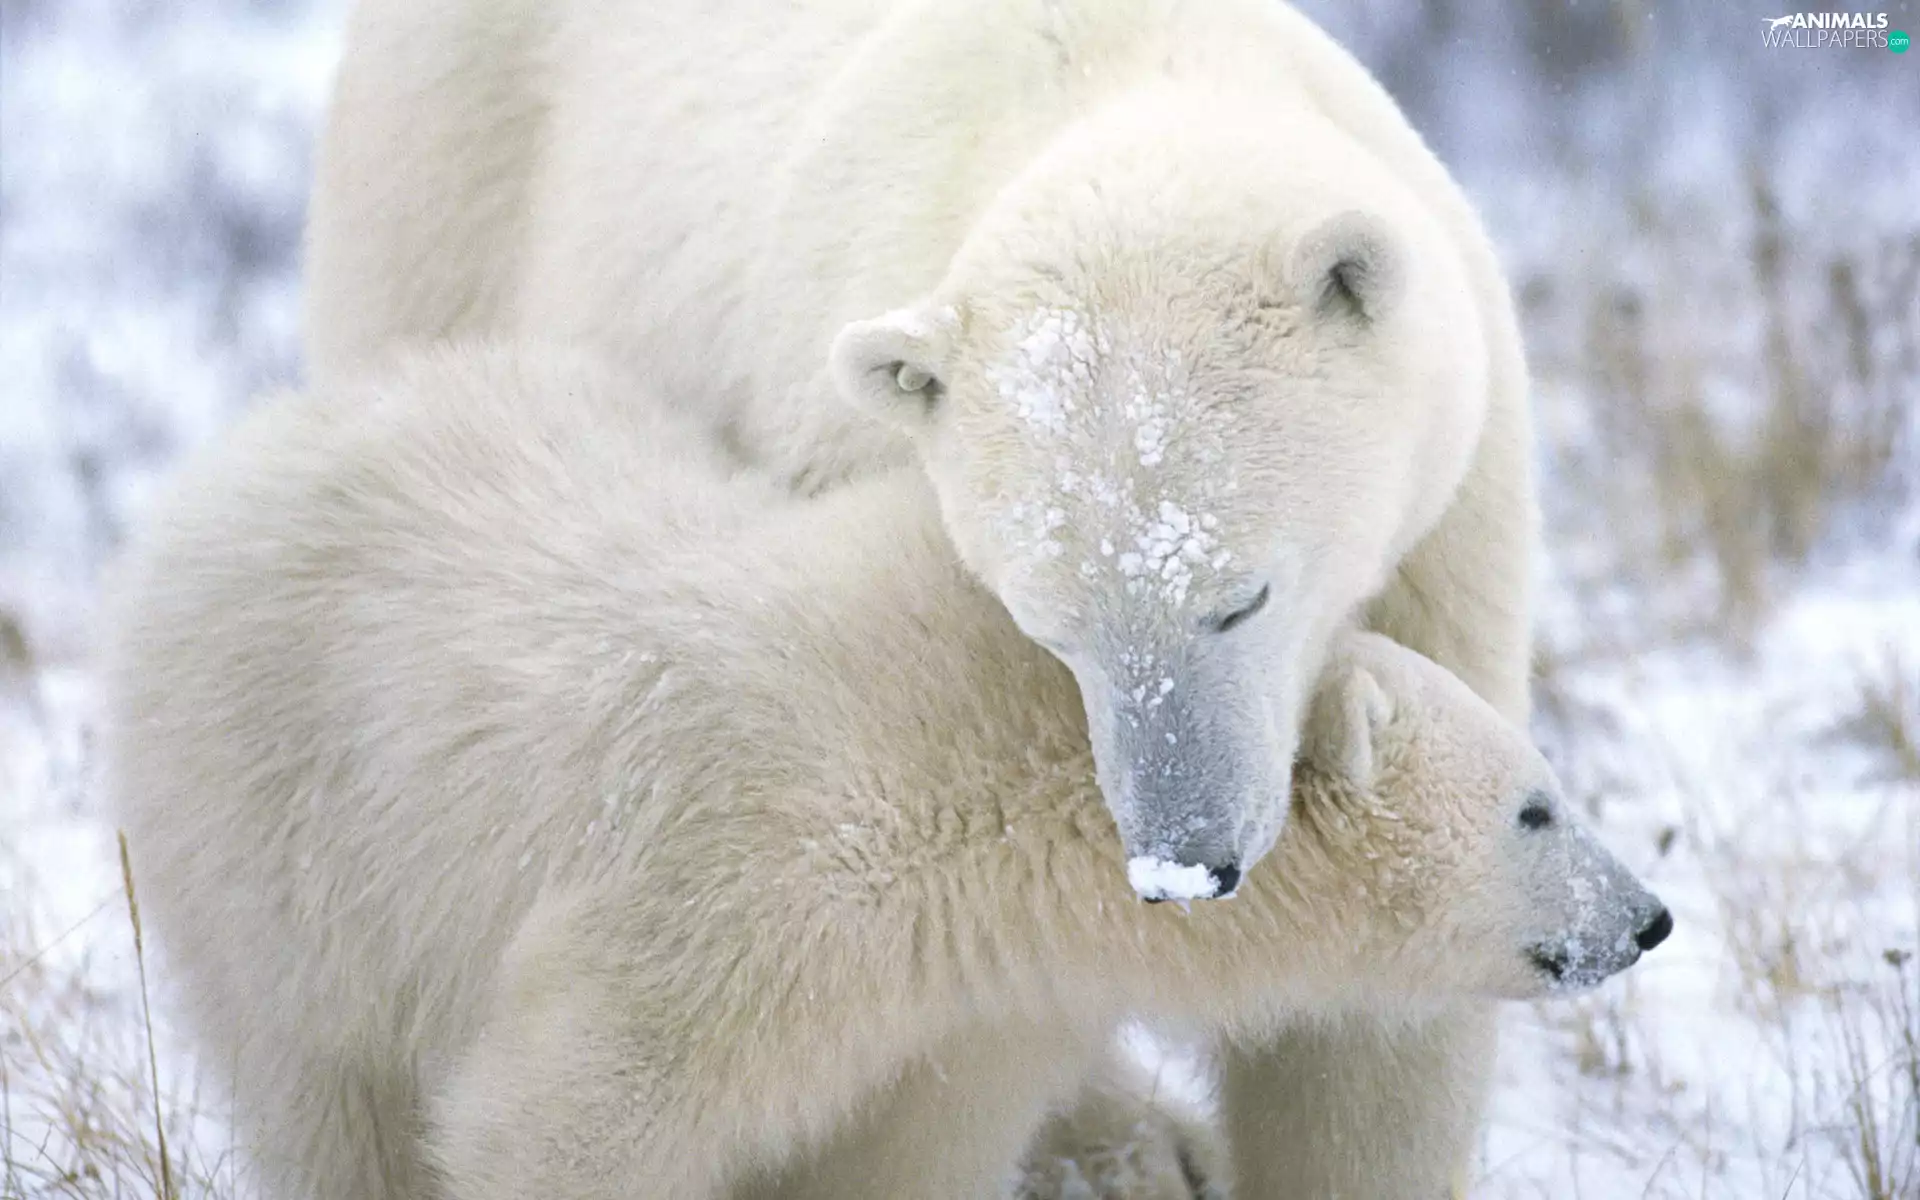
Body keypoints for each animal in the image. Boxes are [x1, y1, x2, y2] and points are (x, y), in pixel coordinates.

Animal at [105, 345, 1665, 1200]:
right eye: (1537, 804)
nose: (1646, 919)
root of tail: (218, 470)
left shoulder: (961, 1008)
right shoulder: (722, 888)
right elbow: (562, 1115)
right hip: (278, 831)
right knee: (325, 1091)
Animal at [303, 7, 1537, 1182]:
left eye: (1241, 597)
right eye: (1050, 628)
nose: (1185, 862)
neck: (1122, 78)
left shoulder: (1445, 534)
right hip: (448, 202)